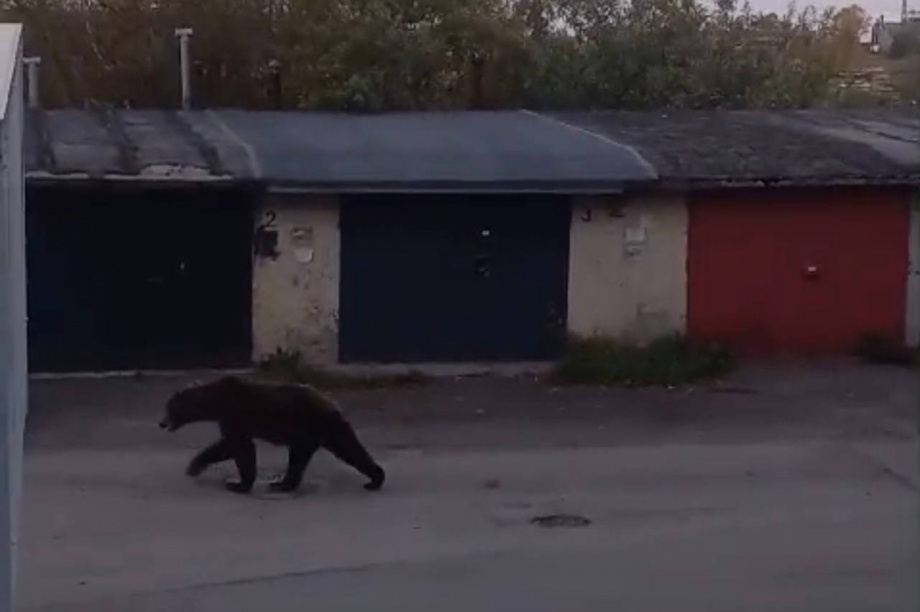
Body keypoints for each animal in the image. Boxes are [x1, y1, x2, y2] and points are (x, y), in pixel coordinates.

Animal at [160, 376, 386, 494]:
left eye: (168, 408)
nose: (161, 423)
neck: (214, 403)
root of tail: (333, 403)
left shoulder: (234, 414)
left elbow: (240, 447)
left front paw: (238, 484)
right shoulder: (230, 419)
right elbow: (228, 446)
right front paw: (195, 466)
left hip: (316, 424)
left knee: (343, 450)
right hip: (316, 432)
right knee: (333, 452)